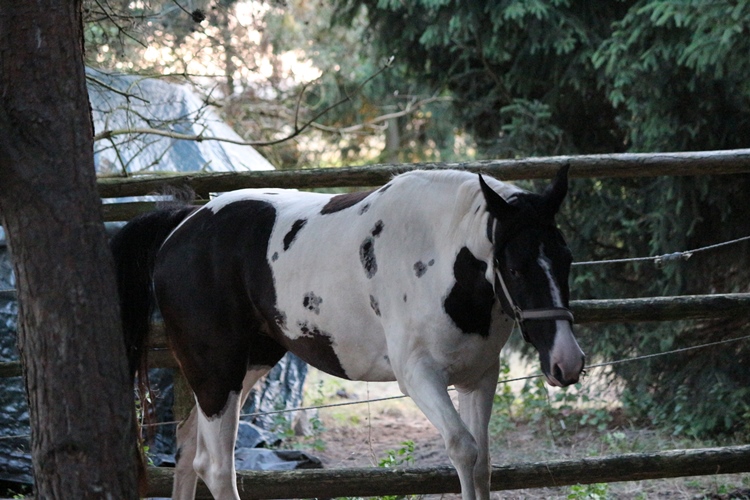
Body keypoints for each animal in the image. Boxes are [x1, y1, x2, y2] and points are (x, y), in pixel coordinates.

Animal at [111, 167, 588, 500]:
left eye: (565, 259)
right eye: (515, 267)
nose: (567, 363)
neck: (437, 259)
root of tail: (182, 225)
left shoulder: (479, 378)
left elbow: (484, 461)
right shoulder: (419, 377)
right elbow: (463, 450)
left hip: (245, 367)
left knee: (188, 449)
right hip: (216, 369)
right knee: (215, 465)